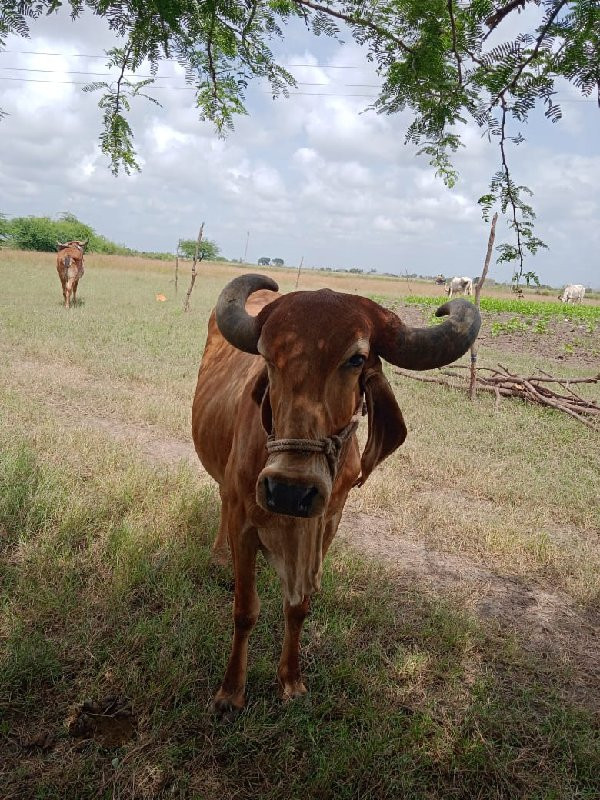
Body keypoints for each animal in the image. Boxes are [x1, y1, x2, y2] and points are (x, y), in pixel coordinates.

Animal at [192, 274, 482, 712]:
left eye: (356, 359)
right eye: (268, 357)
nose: (289, 491)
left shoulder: (328, 521)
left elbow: (298, 607)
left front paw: (291, 681)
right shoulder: (245, 519)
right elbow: (244, 610)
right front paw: (230, 692)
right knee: (223, 505)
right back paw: (218, 557)